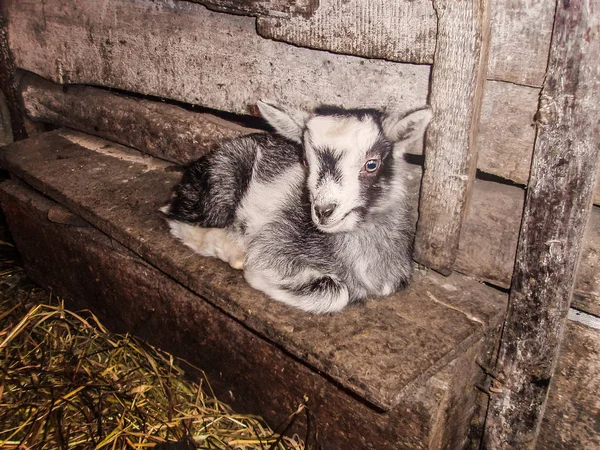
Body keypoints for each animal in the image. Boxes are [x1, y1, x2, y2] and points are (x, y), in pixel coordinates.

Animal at [159, 102, 432, 312]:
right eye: (305, 161)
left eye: (372, 164)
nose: (323, 211)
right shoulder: (275, 244)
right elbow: (336, 293)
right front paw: (250, 269)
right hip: (220, 185)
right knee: (179, 221)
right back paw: (233, 251)